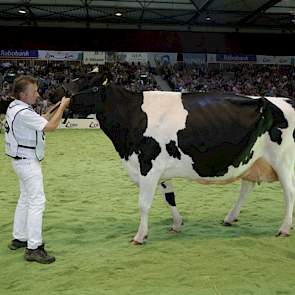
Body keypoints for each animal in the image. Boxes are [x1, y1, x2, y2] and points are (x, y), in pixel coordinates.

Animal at [54, 73, 295, 245]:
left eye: (87, 82)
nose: (58, 91)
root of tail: (285, 99)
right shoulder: (158, 168)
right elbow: (169, 197)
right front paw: (177, 224)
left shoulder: (148, 164)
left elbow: (144, 204)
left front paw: (140, 236)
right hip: (253, 160)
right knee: (247, 187)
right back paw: (230, 218)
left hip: (283, 161)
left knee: (289, 193)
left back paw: (284, 228)